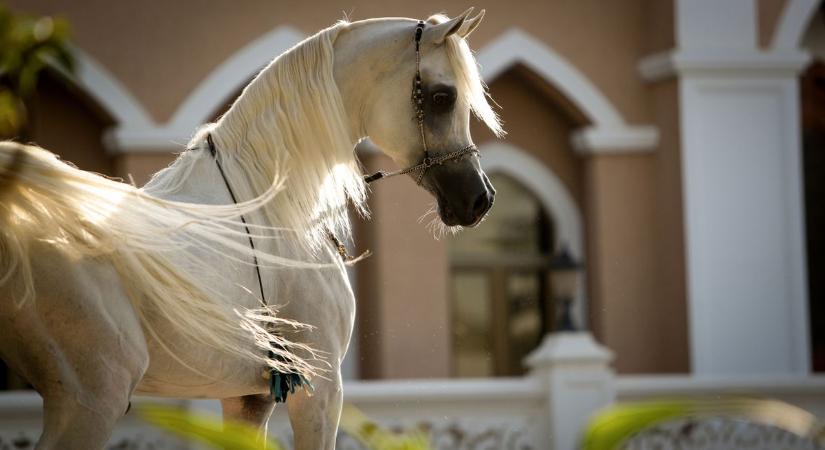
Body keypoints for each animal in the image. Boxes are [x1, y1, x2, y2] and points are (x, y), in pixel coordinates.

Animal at [0, 8, 502, 448]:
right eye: (443, 96)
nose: (479, 200)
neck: (270, 207)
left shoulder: (247, 399)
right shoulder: (322, 392)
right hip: (92, 400)